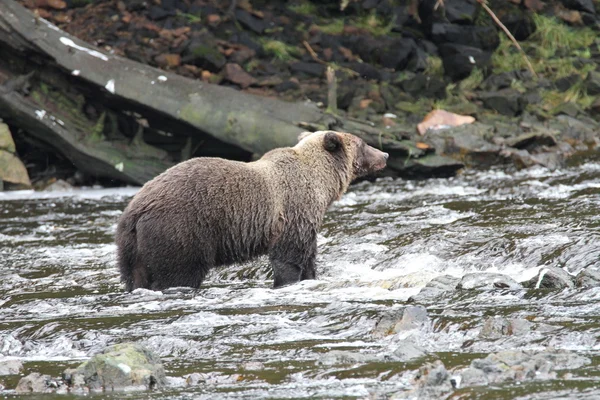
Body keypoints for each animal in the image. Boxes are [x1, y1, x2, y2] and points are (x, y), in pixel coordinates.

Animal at [116, 131, 390, 290]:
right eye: (364, 144)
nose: (385, 154)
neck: (321, 184)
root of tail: (136, 210)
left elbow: (308, 255)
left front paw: (311, 276)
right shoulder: (292, 211)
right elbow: (288, 256)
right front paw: (286, 281)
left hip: (131, 246)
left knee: (134, 275)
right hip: (181, 229)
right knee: (180, 272)